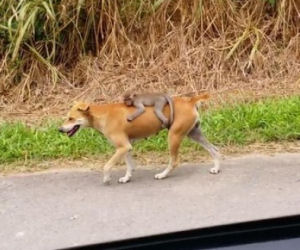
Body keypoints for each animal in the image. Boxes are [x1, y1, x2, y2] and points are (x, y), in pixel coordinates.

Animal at [59, 94, 221, 184]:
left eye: (71, 118)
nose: (59, 130)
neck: (101, 115)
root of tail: (190, 100)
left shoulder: (123, 147)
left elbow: (107, 165)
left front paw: (106, 179)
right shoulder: (126, 147)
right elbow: (130, 165)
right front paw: (127, 178)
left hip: (174, 136)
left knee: (174, 161)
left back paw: (162, 175)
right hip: (194, 133)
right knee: (214, 149)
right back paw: (216, 168)